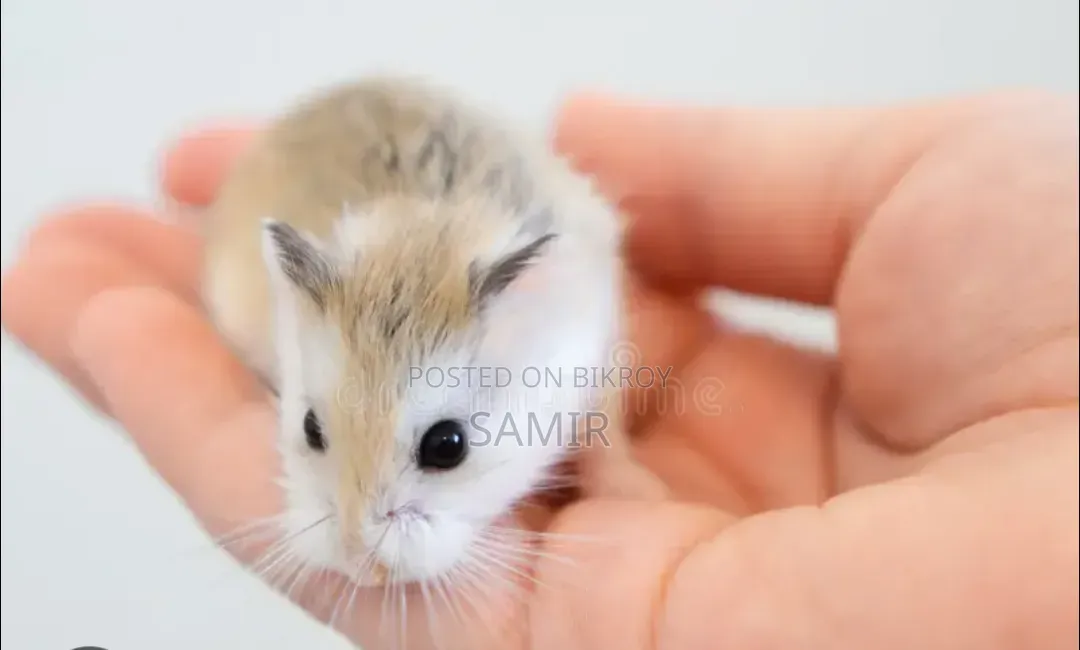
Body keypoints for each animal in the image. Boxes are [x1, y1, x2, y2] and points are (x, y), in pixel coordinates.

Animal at [199, 74, 666, 588]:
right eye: (310, 428)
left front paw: (639, 493)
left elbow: (607, 438)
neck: (427, 247)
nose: (361, 567)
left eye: (447, 446)